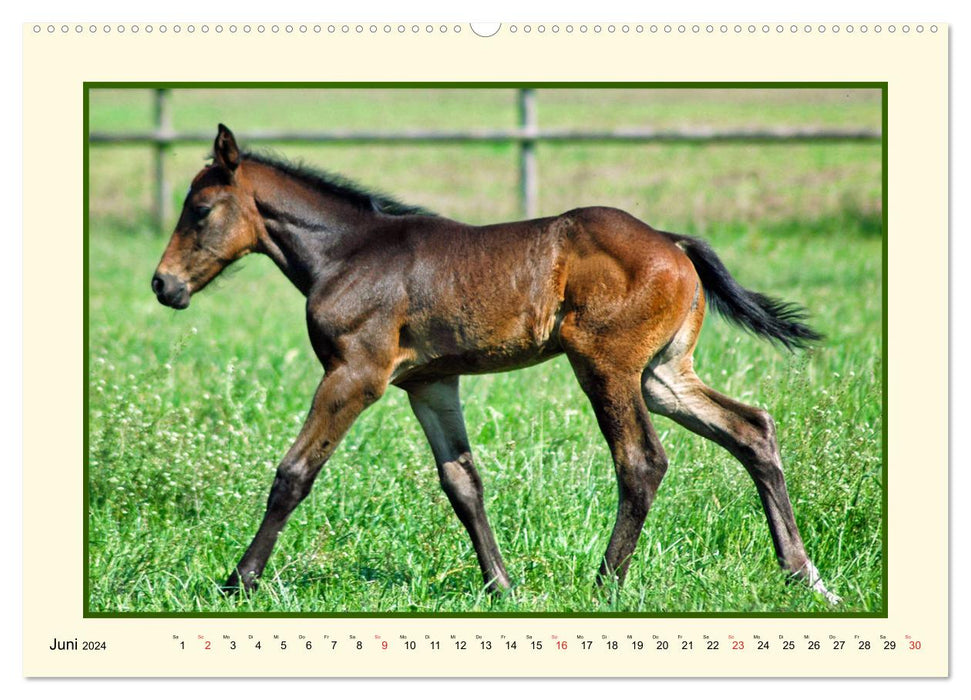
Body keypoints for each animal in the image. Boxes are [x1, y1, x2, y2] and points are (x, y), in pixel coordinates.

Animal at [154, 127, 844, 608]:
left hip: (606, 366)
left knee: (642, 461)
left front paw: (236, 581)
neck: (348, 254)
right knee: (752, 429)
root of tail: (673, 242)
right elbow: (463, 482)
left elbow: (294, 474)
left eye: (201, 210)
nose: (164, 285)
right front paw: (501, 586)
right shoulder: (429, 383)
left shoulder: (355, 376)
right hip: (663, 376)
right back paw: (806, 577)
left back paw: (604, 585)